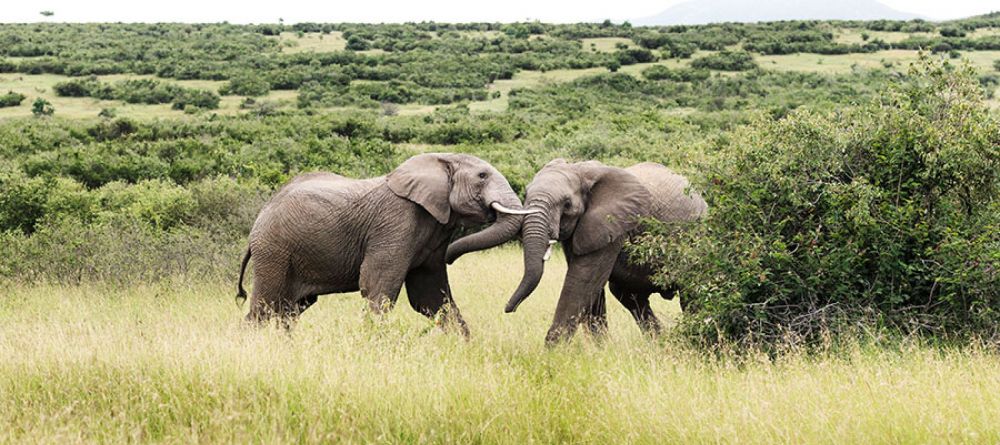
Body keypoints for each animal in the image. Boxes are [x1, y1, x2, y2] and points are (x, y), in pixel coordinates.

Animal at [234, 153, 536, 332]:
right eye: (482, 176)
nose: (452, 257)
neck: (438, 161)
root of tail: (260, 217)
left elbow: (431, 296)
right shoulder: (395, 224)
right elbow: (378, 288)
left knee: (289, 309)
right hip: (274, 250)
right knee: (265, 307)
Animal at [450, 160, 708, 344]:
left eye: (566, 205)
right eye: (526, 195)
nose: (507, 308)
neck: (580, 169)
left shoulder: (612, 222)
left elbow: (583, 279)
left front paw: (553, 351)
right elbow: (591, 287)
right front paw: (599, 349)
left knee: (690, 293)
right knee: (629, 296)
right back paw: (660, 342)